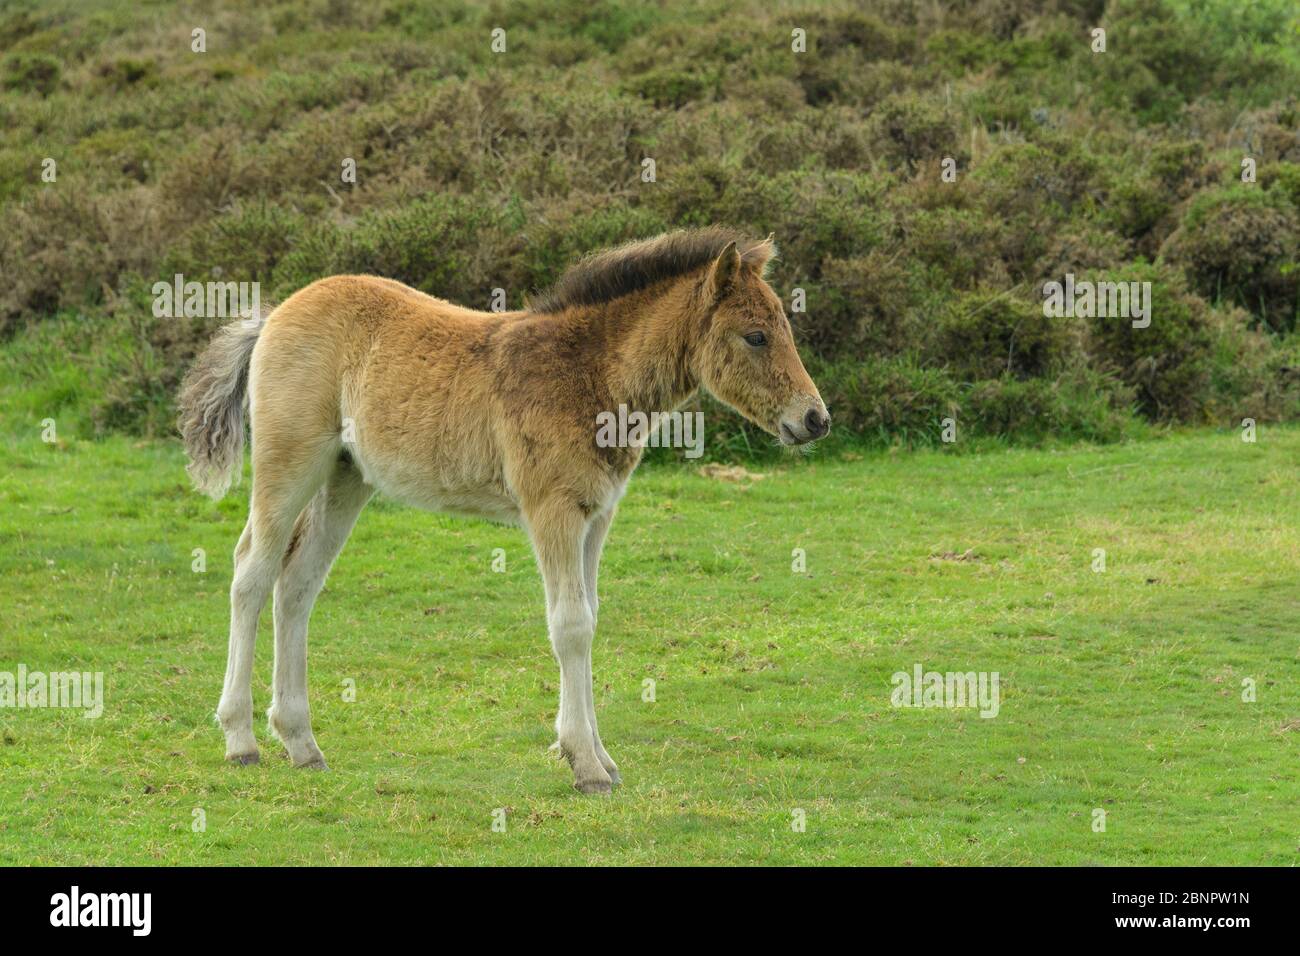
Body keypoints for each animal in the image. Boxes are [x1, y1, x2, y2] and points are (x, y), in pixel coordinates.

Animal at [178, 226, 830, 794]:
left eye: (783, 327)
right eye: (755, 335)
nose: (814, 419)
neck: (587, 371)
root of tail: (273, 316)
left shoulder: (596, 517)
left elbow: (591, 615)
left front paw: (600, 757)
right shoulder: (552, 511)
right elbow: (570, 625)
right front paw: (585, 765)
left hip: (345, 478)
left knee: (297, 586)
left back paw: (301, 743)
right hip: (290, 466)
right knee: (252, 574)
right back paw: (240, 740)